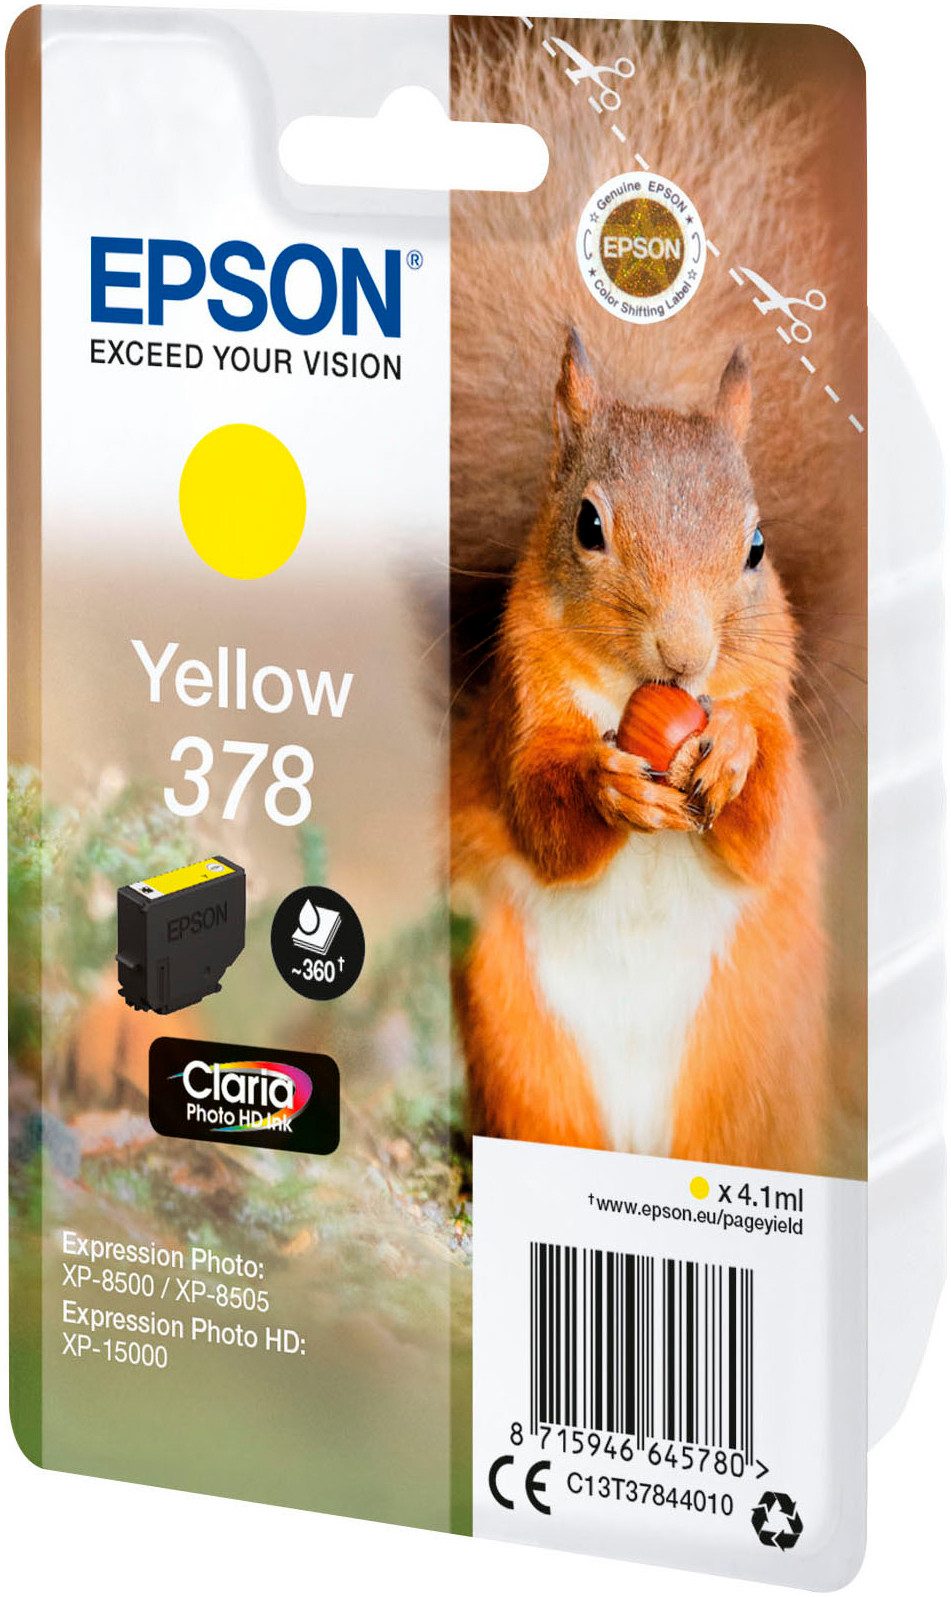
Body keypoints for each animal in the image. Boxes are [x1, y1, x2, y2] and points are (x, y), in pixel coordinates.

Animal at [448, 19, 866, 1174]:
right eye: (588, 525)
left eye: (757, 547)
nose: (684, 657)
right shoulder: (518, 707)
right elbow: (540, 813)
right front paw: (605, 787)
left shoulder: (771, 696)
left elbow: (764, 820)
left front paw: (729, 754)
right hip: (523, 1047)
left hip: (744, 1071)